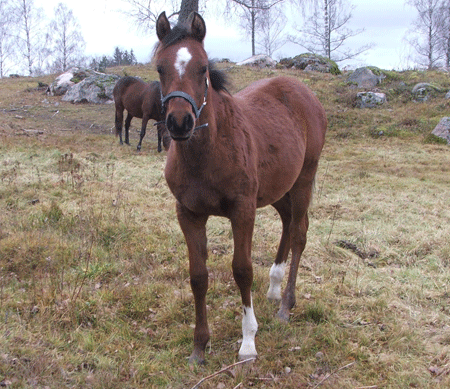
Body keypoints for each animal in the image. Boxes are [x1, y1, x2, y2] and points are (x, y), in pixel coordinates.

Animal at [155, 12, 326, 364]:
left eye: (203, 68)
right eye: (160, 68)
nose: (180, 122)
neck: (207, 153)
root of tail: (304, 92)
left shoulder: (242, 209)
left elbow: (242, 270)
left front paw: (248, 343)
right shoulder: (188, 213)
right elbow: (198, 276)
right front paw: (199, 346)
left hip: (303, 178)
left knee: (299, 232)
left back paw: (286, 305)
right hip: (277, 188)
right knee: (287, 221)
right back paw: (274, 287)